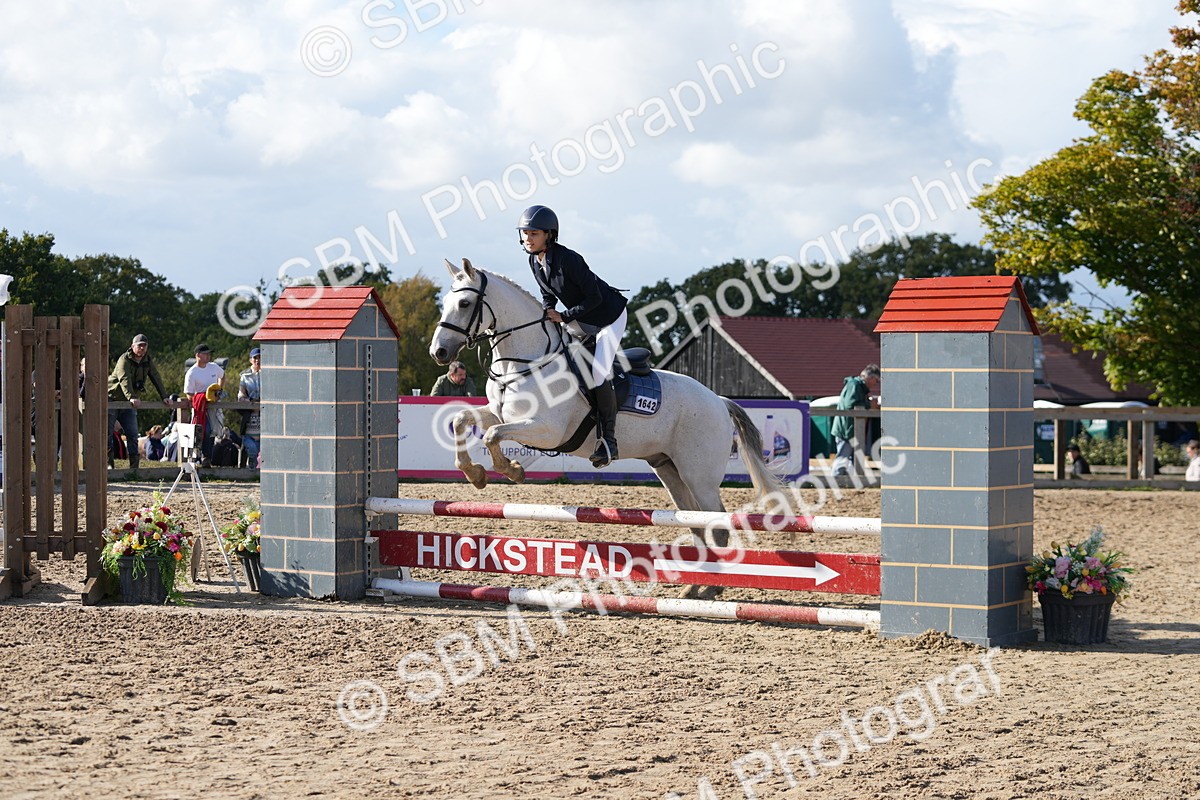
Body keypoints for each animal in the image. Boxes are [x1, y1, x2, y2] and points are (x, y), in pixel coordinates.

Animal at [428, 258, 786, 596]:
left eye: (464, 304)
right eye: (445, 301)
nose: (438, 352)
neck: (527, 362)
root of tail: (719, 401)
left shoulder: (546, 430)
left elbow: (492, 436)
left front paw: (511, 469)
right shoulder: (500, 413)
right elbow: (462, 421)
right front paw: (475, 474)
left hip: (699, 475)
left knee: (717, 524)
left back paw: (712, 587)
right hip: (669, 469)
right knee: (696, 524)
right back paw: (694, 587)